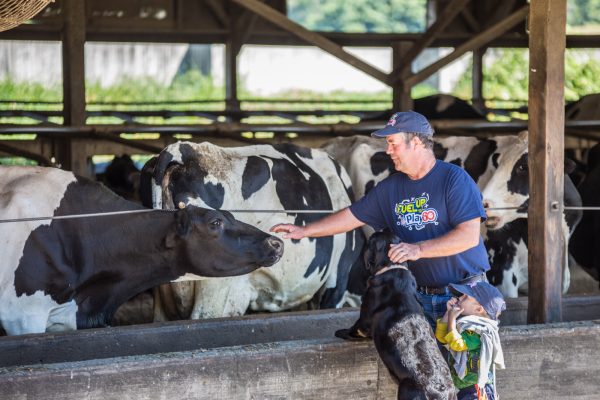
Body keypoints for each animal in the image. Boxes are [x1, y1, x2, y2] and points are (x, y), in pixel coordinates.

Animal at [336, 231, 458, 400]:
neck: (391, 266)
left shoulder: (364, 320)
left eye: (371, 240)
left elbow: (353, 330)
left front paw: (340, 333)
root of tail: (440, 392)